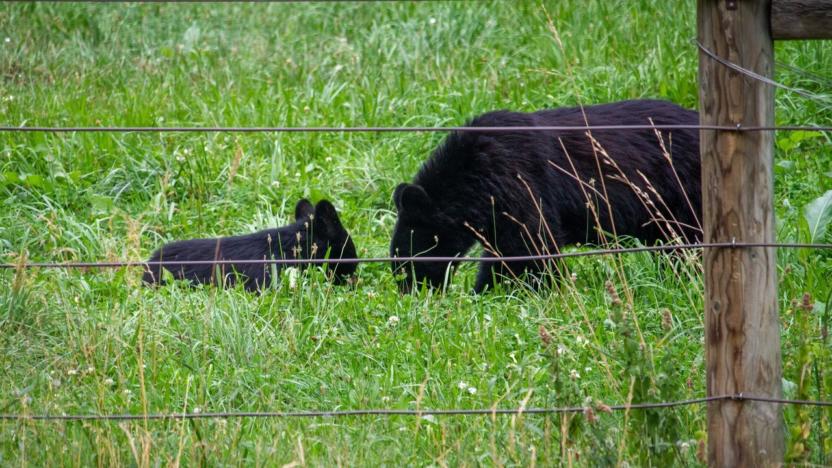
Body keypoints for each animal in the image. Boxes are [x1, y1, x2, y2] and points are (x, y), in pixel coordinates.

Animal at [390, 99, 704, 292]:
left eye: (406, 260)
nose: (409, 291)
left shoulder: (520, 183)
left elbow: (527, 248)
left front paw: (491, 292)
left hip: (683, 194)